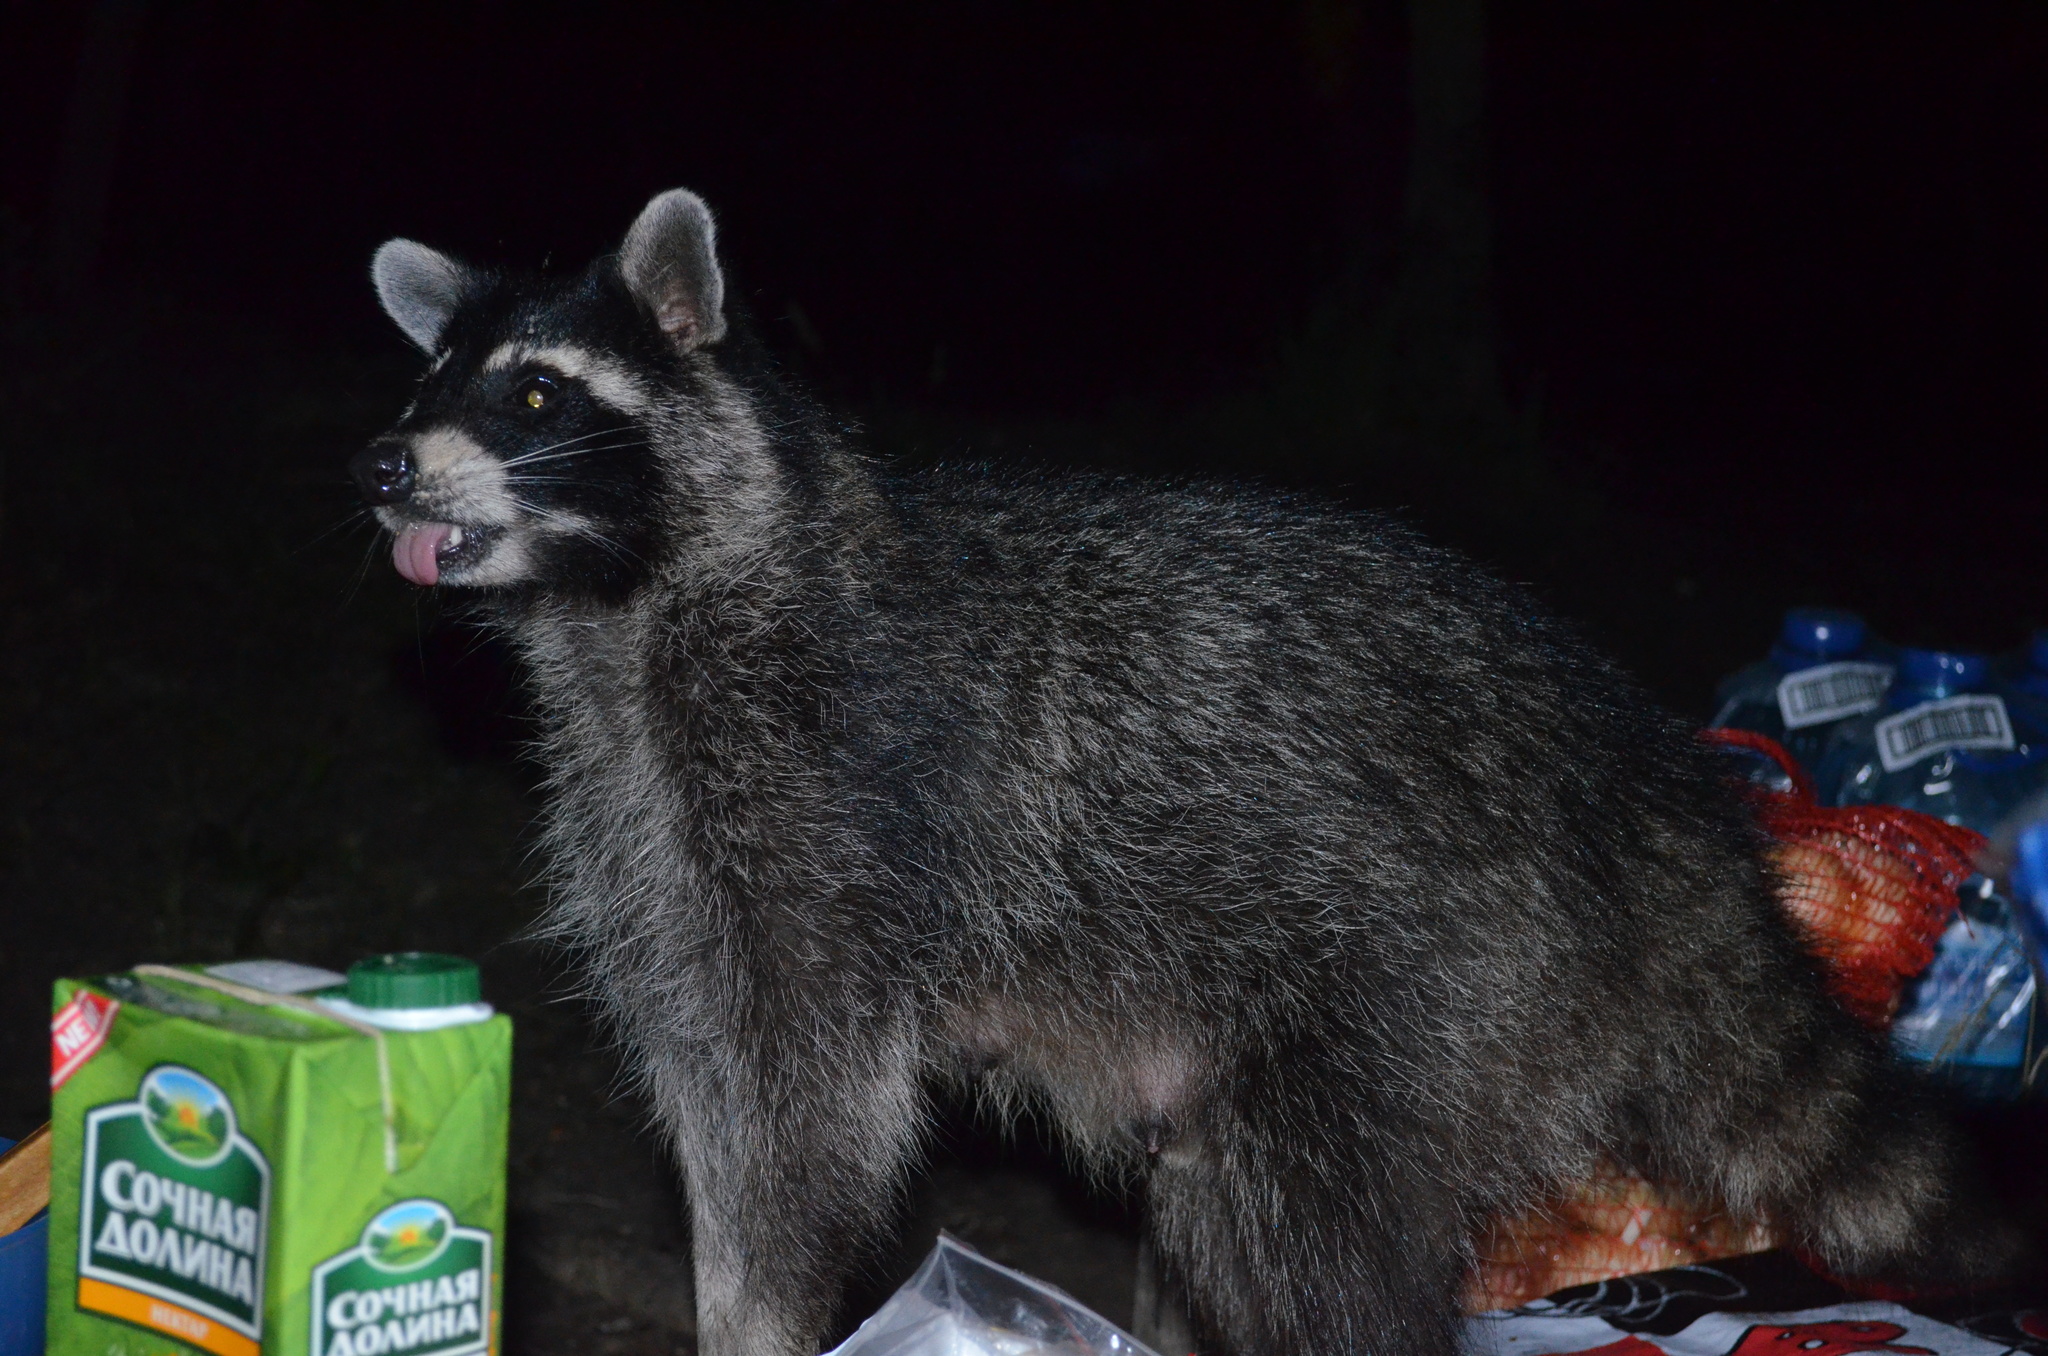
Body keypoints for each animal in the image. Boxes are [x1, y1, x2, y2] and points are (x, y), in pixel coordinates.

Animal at [348, 191, 2015, 1356]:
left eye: (539, 395)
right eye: (429, 381)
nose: (383, 461)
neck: (622, 608)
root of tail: (1656, 792)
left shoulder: (822, 827)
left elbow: (807, 1133)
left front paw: (760, 1317)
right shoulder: (651, 841)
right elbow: (709, 1104)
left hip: (1424, 978)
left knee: (1309, 1240)